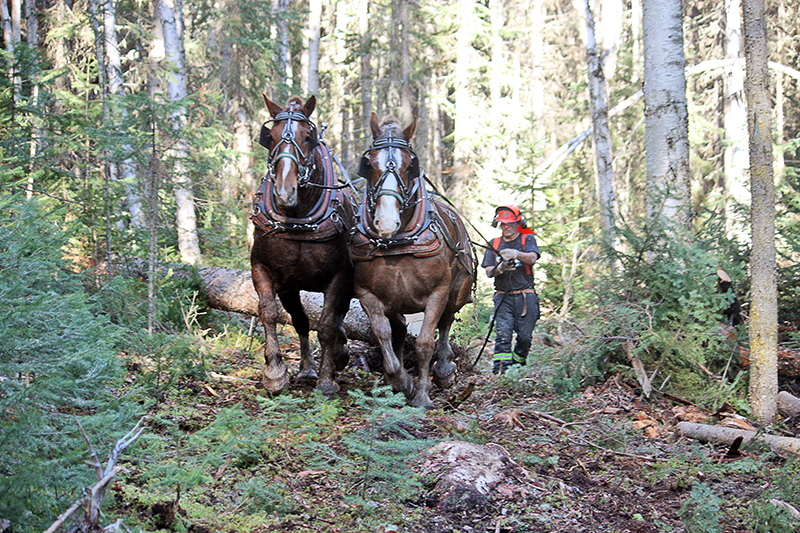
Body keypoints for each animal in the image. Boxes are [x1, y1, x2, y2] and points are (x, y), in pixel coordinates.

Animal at [247, 94, 354, 394]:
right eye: (270, 137)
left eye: (308, 137)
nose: (285, 192)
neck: (297, 220)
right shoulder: (265, 270)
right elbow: (270, 313)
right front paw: (274, 372)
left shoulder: (339, 277)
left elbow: (327, 325)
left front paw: (327, 379)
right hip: (291, 288)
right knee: (301, 321)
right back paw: (307, 368)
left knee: (337, 319)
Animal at [350, 112, 476, 408]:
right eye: (369, 164)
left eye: (410, 165)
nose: (386, 221)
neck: (397, 244)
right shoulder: (367, 294)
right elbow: (383, 334)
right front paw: (401, 381)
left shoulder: (438, 293)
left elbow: (425, 343)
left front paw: (422, 394)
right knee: (398, 329)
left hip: (457, 290)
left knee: (446, 322)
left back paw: (444, 369)